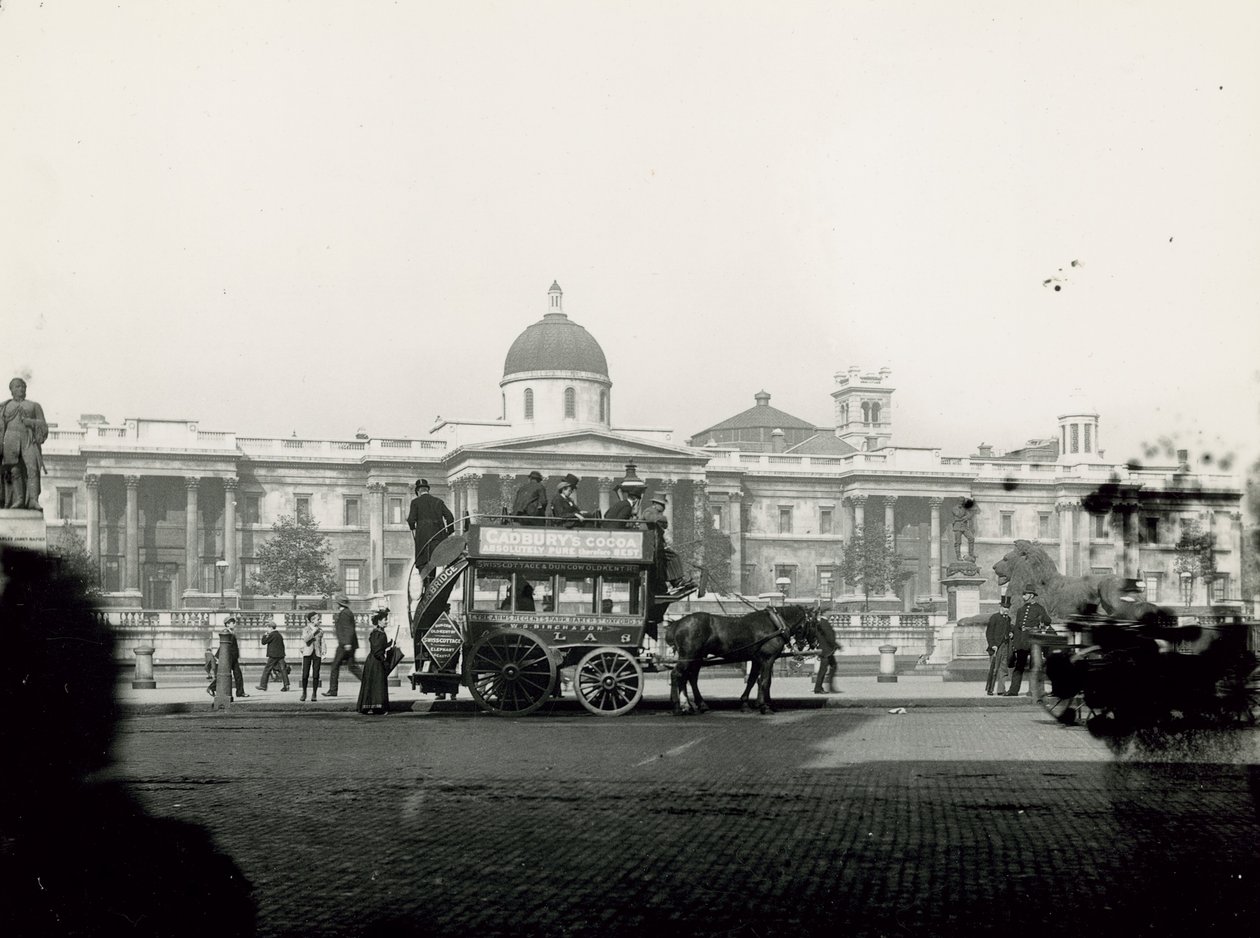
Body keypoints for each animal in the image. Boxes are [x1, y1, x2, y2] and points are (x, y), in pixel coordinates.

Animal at [670, 605, 816, 716]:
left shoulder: (757, 660)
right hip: (688, 656)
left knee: (690, 677)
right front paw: (764, 706)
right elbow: (765, 681)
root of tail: (678, 623)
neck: (776, 624)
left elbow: (753, 680)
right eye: (814, 623)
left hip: (696, 658)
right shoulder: (767, 659)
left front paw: (747, 704)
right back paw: (678, 707)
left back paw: (694, 705)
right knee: (677, 674)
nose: (813, 644)